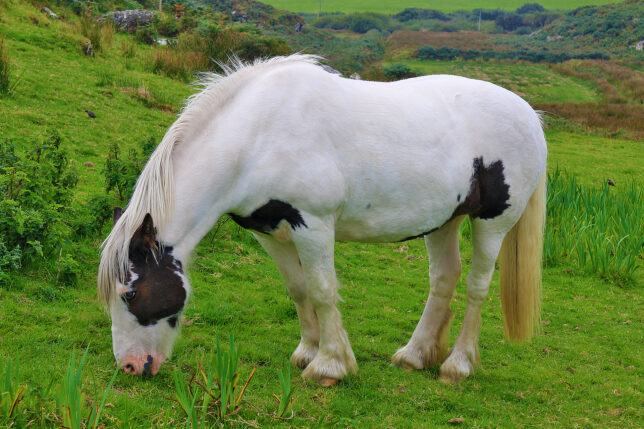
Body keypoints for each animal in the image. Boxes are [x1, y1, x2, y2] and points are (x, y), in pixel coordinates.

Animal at [98, 54, 546, 385]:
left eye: (130, 294)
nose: (131, 366)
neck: (257, 137)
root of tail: (529, 113)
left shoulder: (311, 225)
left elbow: (322, 289)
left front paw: (330, 365)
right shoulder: (270, 233)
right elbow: (298, 289)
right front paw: (307, 351)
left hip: (493, 222)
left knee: (476, 286)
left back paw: (458, 365)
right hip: (443, 221)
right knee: (443, 279)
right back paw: (415, 355)